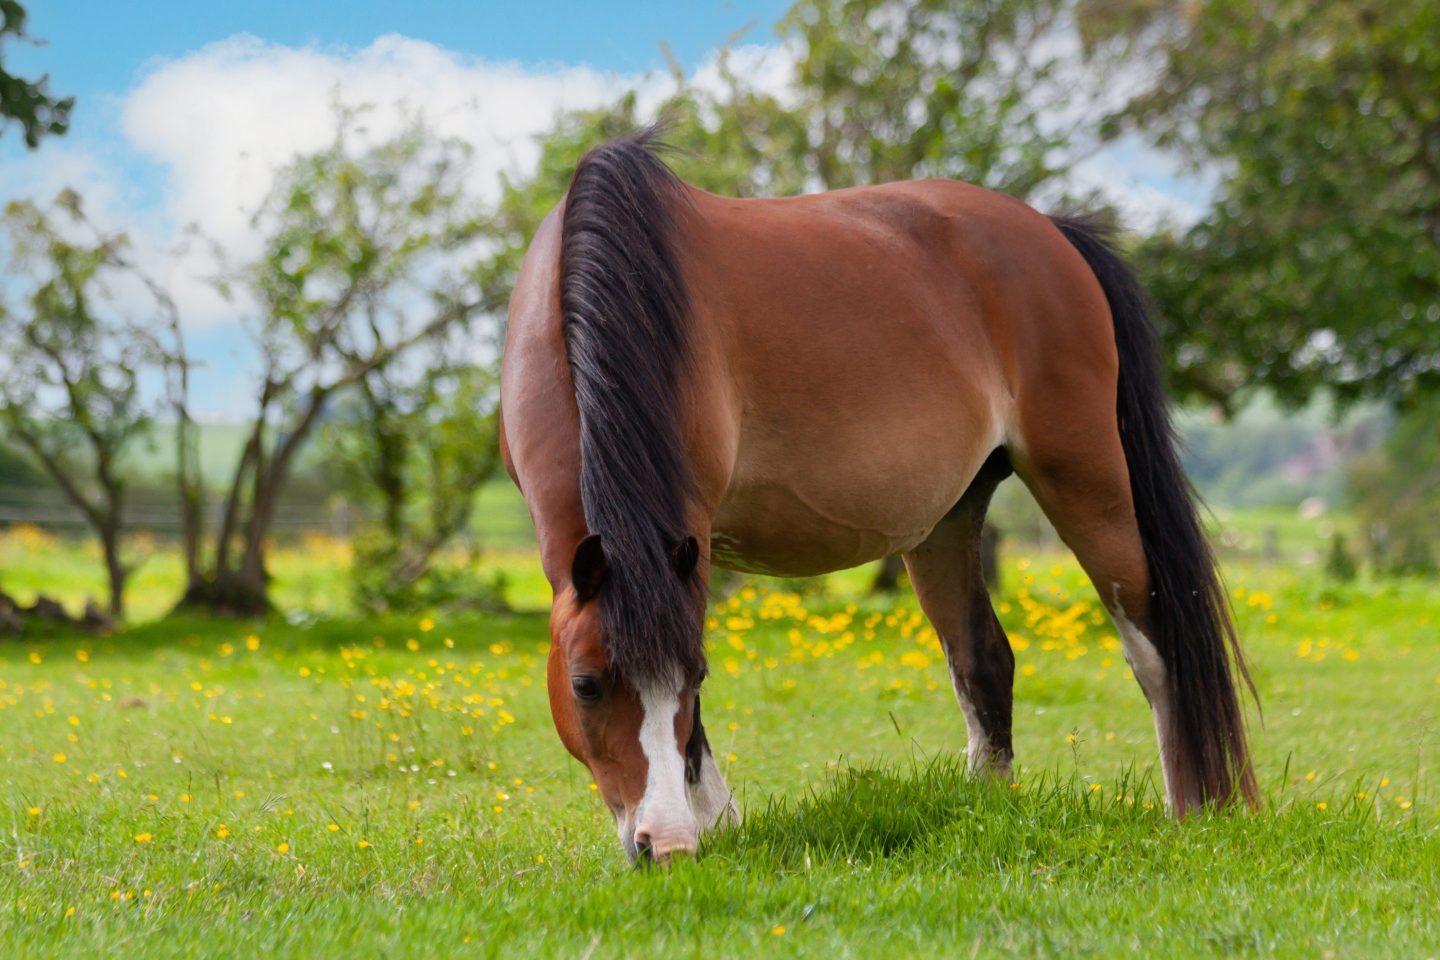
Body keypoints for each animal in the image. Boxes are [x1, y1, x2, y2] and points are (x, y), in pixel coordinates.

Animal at [499, 128, 1256, 865]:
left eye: (696, 677)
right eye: (585, 684)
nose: (666, 845)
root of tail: (1053, 232)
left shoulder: (691, 530)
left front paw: (713, 820)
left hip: (1086, 477)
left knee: (1155, 647)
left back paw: (1191, 809)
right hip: (950, 519)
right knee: (983, 658)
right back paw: (986, 809)